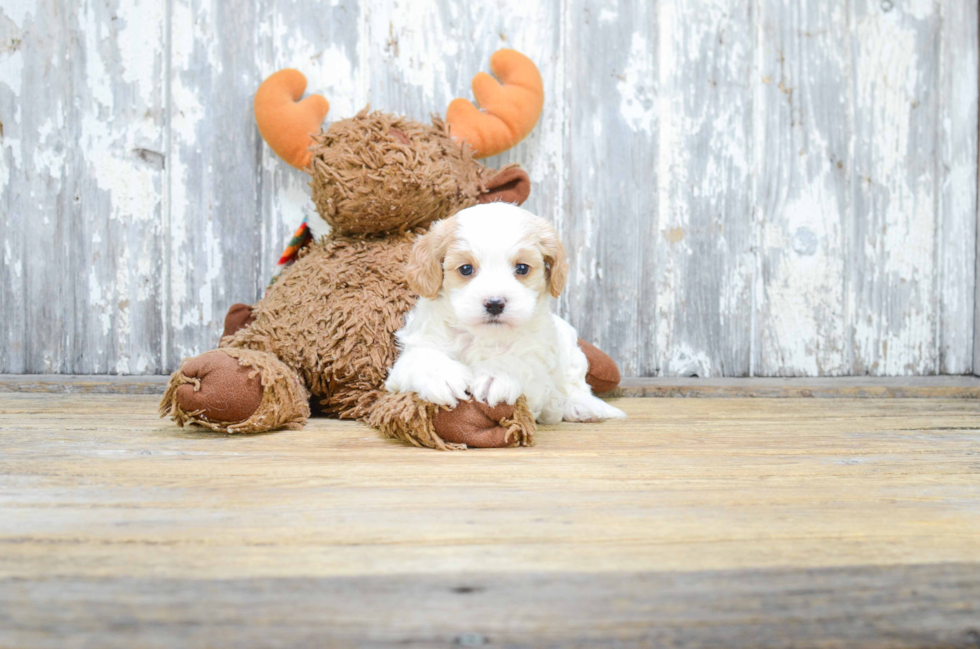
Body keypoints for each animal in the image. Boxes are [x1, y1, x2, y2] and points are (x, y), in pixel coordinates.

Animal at [384, 204, 628, 426]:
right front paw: (443, 376)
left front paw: (495, 375)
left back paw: (581, 406)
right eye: (466, 269)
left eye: (522, 268)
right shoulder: (411, 355)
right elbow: (421, 358)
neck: (485, 336)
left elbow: (520, 363)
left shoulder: (538, 368)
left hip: (571, 351)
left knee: (575, 384)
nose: (494, 303)